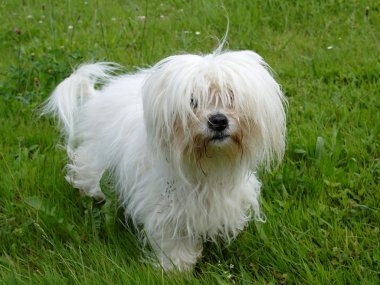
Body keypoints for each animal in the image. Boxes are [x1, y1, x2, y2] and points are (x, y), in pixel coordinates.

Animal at [43, 47, 284, 270]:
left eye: (231, 96)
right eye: (192, 101)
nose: (218, 120)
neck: (205, 166)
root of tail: (98, 98)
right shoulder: (166, 208)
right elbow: (173, 240)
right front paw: (175, 267)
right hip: (95, 161)